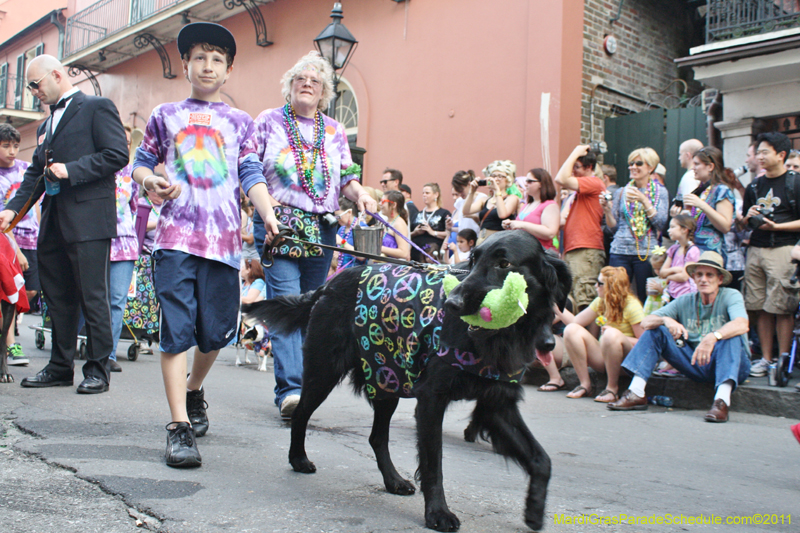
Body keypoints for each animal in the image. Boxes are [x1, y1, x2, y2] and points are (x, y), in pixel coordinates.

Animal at [244, 231, 568, 528]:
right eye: (474, 260)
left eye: (504, 263)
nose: (452, 303)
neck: (500, 336)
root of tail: (328, 284)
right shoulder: (432, 398)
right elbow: (433, 463)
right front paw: (438, 513)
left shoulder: (496, 404)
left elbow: (542, 460)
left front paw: (534, 509)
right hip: (325, 371)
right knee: (301, 413)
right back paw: (298, 459)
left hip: (384, 375)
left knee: (376, 437)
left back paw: (393, 481)